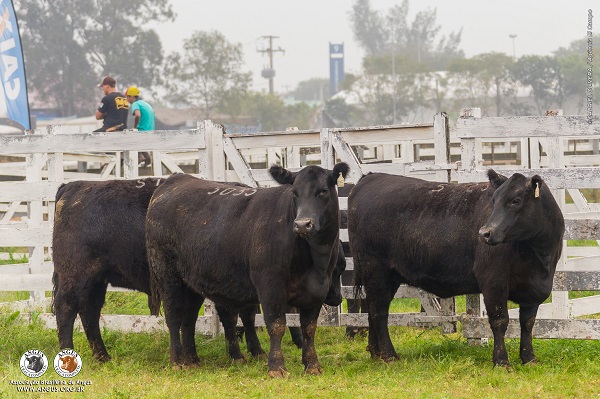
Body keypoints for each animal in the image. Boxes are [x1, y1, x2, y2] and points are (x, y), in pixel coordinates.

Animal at [147, 163, 350, 378]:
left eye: (323, 191)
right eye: (294, 192)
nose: (303, 224)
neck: (314, 261)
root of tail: (175, 180)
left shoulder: (316, 291)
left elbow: (309, 328)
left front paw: (312, 365)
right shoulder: (270, 286)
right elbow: (276, 325)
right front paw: (276, 367)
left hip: (192, 284)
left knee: (189, 320)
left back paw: (192, 361)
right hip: (168, 277)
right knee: (173, 317)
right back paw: (177, 361)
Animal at [350, 170, 564, 368]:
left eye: (516, 200)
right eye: (494, 201)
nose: (485, 233)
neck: (539, 257)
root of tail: (371, 177)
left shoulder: (534, 289)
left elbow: (528, 323)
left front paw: (529, 358)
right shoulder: (493, 282)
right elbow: (500, 321)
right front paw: (502, 361)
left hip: (387, 276)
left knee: (373, 309)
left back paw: (375, 353)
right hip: (376, 270)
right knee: (379, 312)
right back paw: (389, 355)